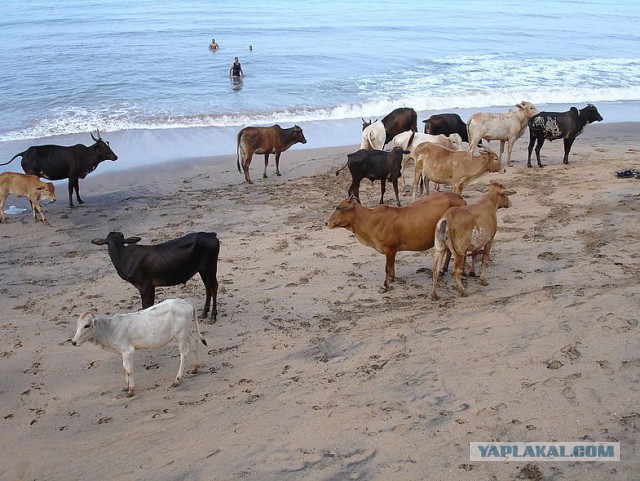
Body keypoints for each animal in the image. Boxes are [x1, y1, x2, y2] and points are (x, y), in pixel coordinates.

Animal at [72, 298, 208, 396]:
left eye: (87, 325)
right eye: (77, 324)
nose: (73, 342)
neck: (110, 329)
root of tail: (186, 303)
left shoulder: (127, 351)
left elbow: (128, 370)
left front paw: (131, 390)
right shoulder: (125, 353)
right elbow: (126, 368)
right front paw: (126, 386)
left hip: (180, 335)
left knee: (184, 353)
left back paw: (177, 379)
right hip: (186, 332)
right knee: (195, 342)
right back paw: (195, 368)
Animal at [90, 231, 220, 320]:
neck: (124, 258)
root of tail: (211, 235)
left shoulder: (143, 285)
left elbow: (146, 305)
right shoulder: (151, 286)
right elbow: (150, 305)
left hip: (211, 266)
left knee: (214, 287)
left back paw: (213, 316)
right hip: (203, 270)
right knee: (208, 288)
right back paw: (204, 313)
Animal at [330, 191, 464, 288]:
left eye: (339, 208)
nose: (327, 222)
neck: (370, 220)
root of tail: (458, 196)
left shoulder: (390, 248)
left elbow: (387, 267)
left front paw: (386, 285)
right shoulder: (392, 250)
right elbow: (392, 265)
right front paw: (392, 278)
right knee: (449, 252)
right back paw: (443, 270)